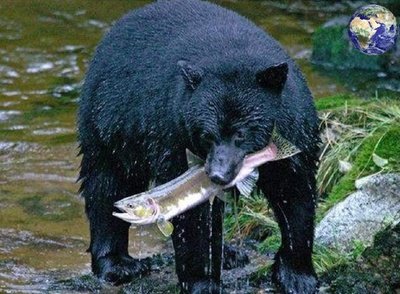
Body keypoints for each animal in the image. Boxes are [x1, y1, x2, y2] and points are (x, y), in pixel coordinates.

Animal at [78, 1, 320, 292]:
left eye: (241, 133)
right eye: (207, 135)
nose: (217, 174)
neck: (233, 54)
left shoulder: (295, 127)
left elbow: (294, 192)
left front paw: (297, 276)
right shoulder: (173, 132)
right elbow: (194, 214)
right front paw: (202, 281)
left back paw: (230, 254)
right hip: (111, 121)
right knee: (107, 183)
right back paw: (117, 265)